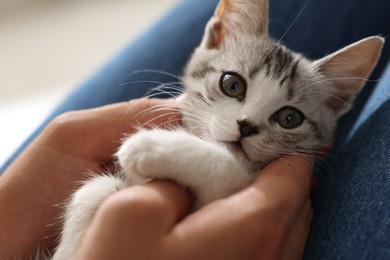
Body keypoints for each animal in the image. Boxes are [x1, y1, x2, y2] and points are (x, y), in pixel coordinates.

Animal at [50, 0, 382, 258]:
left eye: (290, 118)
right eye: (232, 84)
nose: (246, 126)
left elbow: (228, 169)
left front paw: (154, 147)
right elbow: (94, 189)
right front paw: (72, 246)